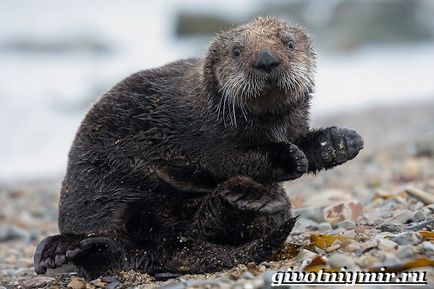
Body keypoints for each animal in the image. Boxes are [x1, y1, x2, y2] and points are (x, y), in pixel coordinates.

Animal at [34, 17, 362, 276]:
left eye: (289, 43)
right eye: (237, 50)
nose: (267, 58)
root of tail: (160, 248)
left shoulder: (292, 126)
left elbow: (303, 141)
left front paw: (340, 142)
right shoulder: (207, 138)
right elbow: (233, 160)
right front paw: (290, 156)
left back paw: (245, 200)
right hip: (102, 200)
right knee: (114, 246)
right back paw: (63, 250)